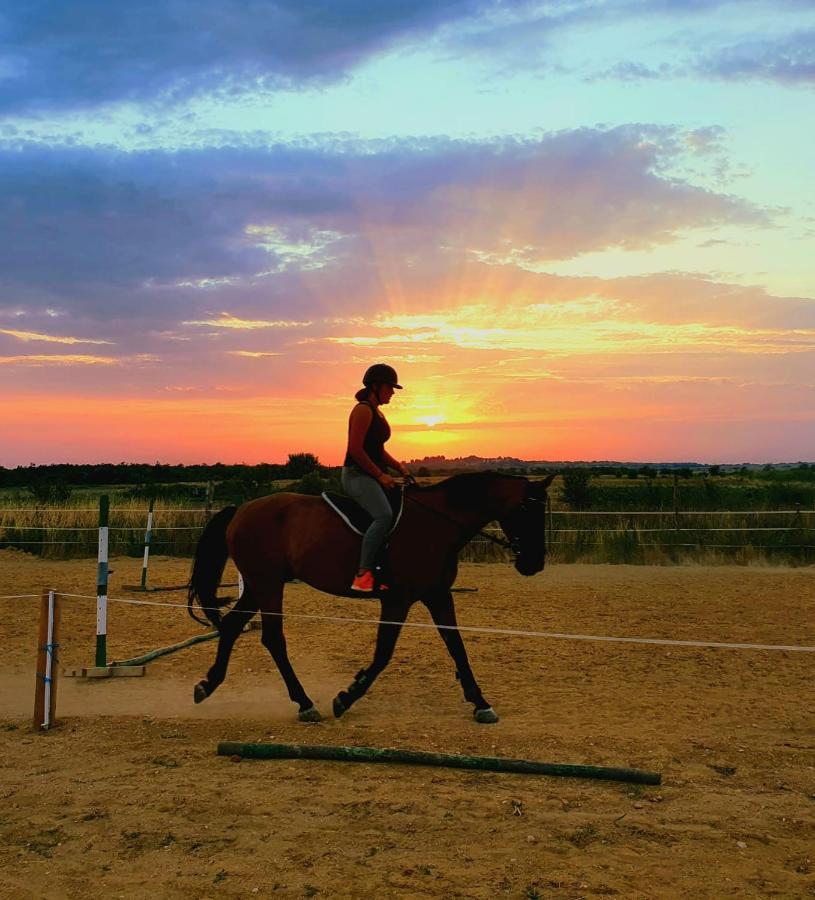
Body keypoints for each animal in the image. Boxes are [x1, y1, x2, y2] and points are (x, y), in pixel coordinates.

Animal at [186, 472, 556, 724]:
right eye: (526, 511)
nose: (534, 564)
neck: (435, 525)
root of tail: (240, 510)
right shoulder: (398, 600)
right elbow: (383, 654)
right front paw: (346, 696)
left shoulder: (437, 595)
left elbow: (456, 645)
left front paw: (480, 702)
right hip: (268, 584)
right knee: (273, 638)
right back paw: (305, 703)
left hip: (258, 585)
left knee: (231, 626)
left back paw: (207, 685)